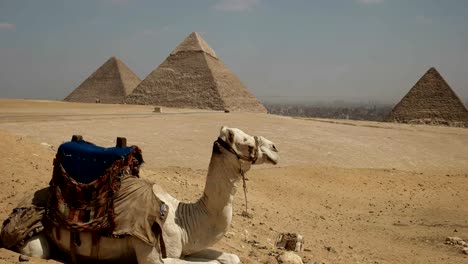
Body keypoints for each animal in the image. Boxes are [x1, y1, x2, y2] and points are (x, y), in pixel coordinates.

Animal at [15, 127, 278, 262]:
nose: (275, 148)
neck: (185, 220)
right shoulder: (153, 253)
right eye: (247, 143)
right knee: (39, 251)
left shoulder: (187, 246)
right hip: (35, 240)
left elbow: (231, 258)